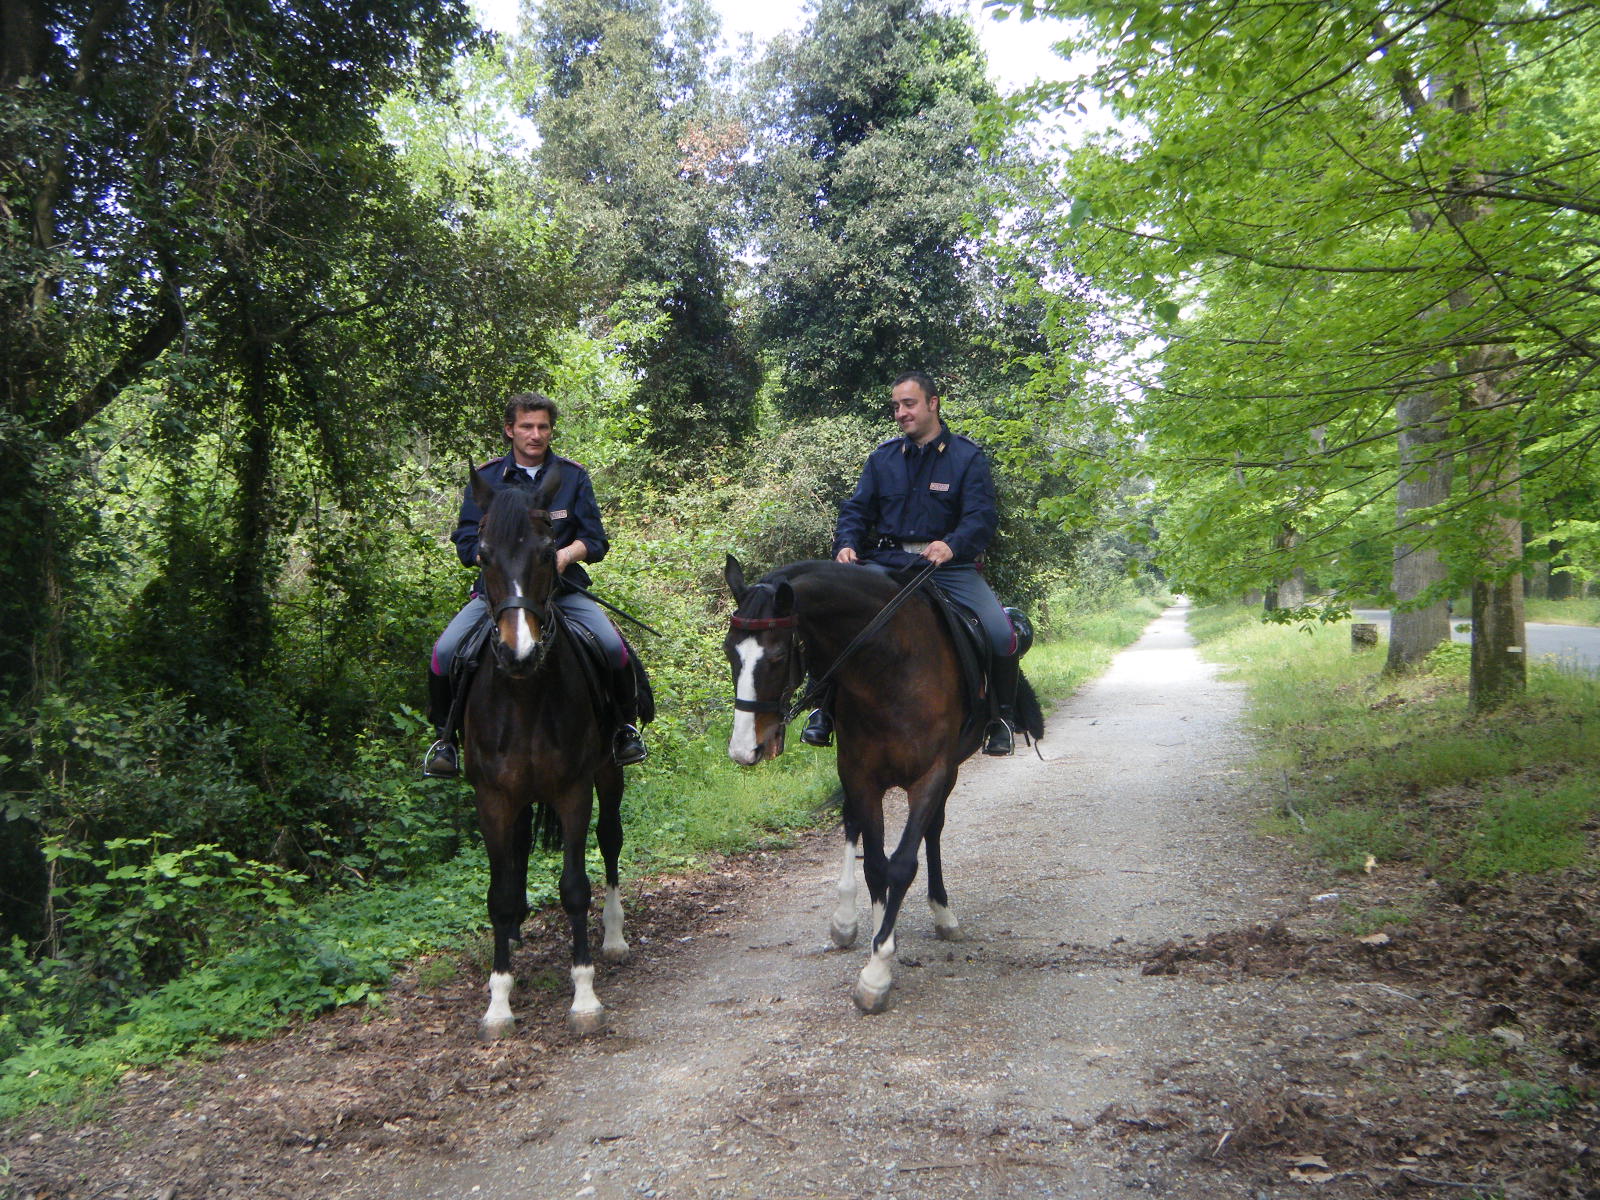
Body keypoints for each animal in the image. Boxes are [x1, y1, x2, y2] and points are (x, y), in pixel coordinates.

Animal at [460, 464, 627, 1036]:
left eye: (546, 551)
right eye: (483, 554)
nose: (519, 653)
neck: (525, 695)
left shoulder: (574, 790)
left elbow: (575, 886)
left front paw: (584, 995)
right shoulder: (492, 799)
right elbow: (499, 893)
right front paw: (498, 1000)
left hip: (610, 774)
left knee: (611, 841)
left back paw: (615, 937)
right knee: (516, 859)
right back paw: (515, 934)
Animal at [720, 556, 1043, 1017]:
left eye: (780, 655)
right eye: (729, 650)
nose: (746, 749)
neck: (889, 669)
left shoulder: (932, 775)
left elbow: (902, 863)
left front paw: (876, 972)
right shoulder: (859, 776)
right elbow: (874, 864)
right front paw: (876, 944)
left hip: (950, 772)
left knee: (932, 832)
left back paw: (943, 914)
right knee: (853, 825)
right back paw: (846, 920)